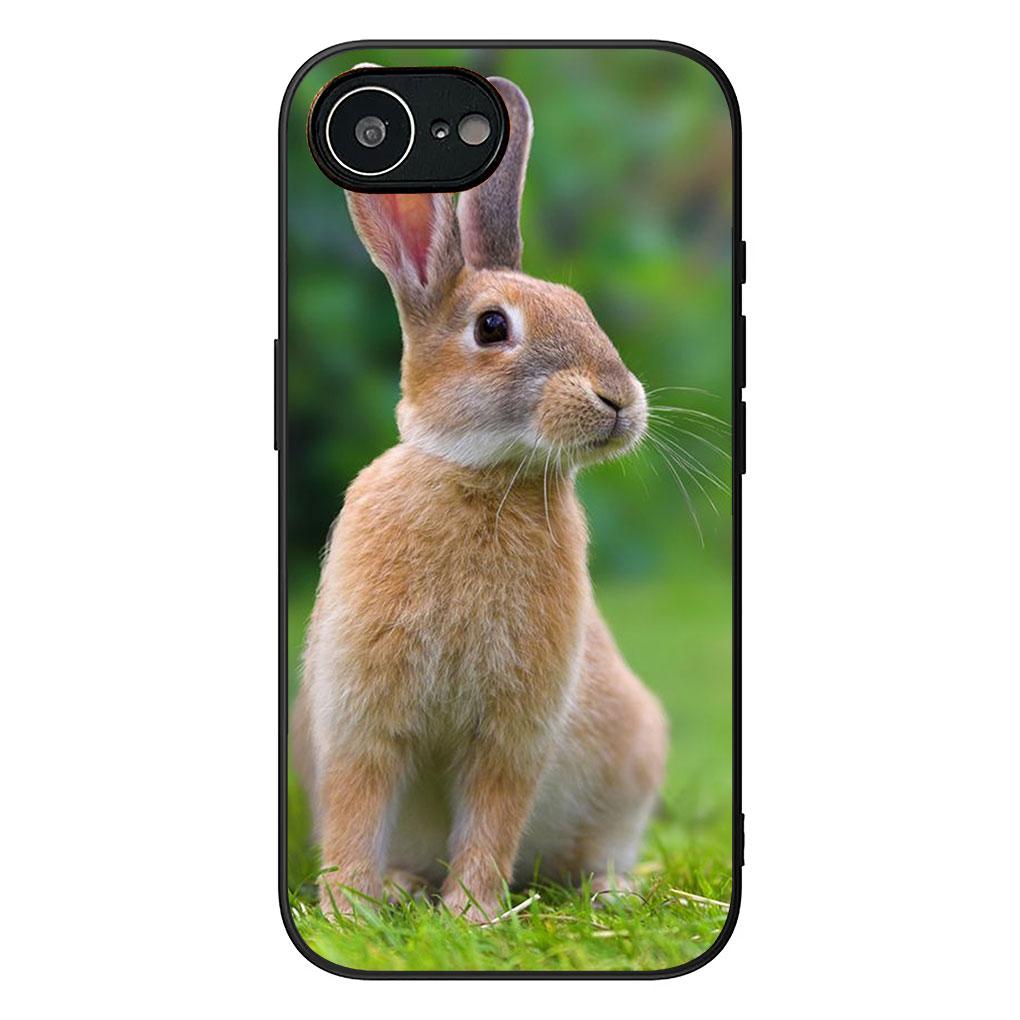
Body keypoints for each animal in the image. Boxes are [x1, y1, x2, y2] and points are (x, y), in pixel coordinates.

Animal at [293, 77, 668, 923]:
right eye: (492, 327)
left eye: (582, 306)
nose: (620, 400)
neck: (484, 476)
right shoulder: (362, 714)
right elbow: (357, 806)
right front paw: (348, 910)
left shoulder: (512, 730)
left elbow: (493, 816)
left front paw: (472, 914)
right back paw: (401, 887)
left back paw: (610, 892)